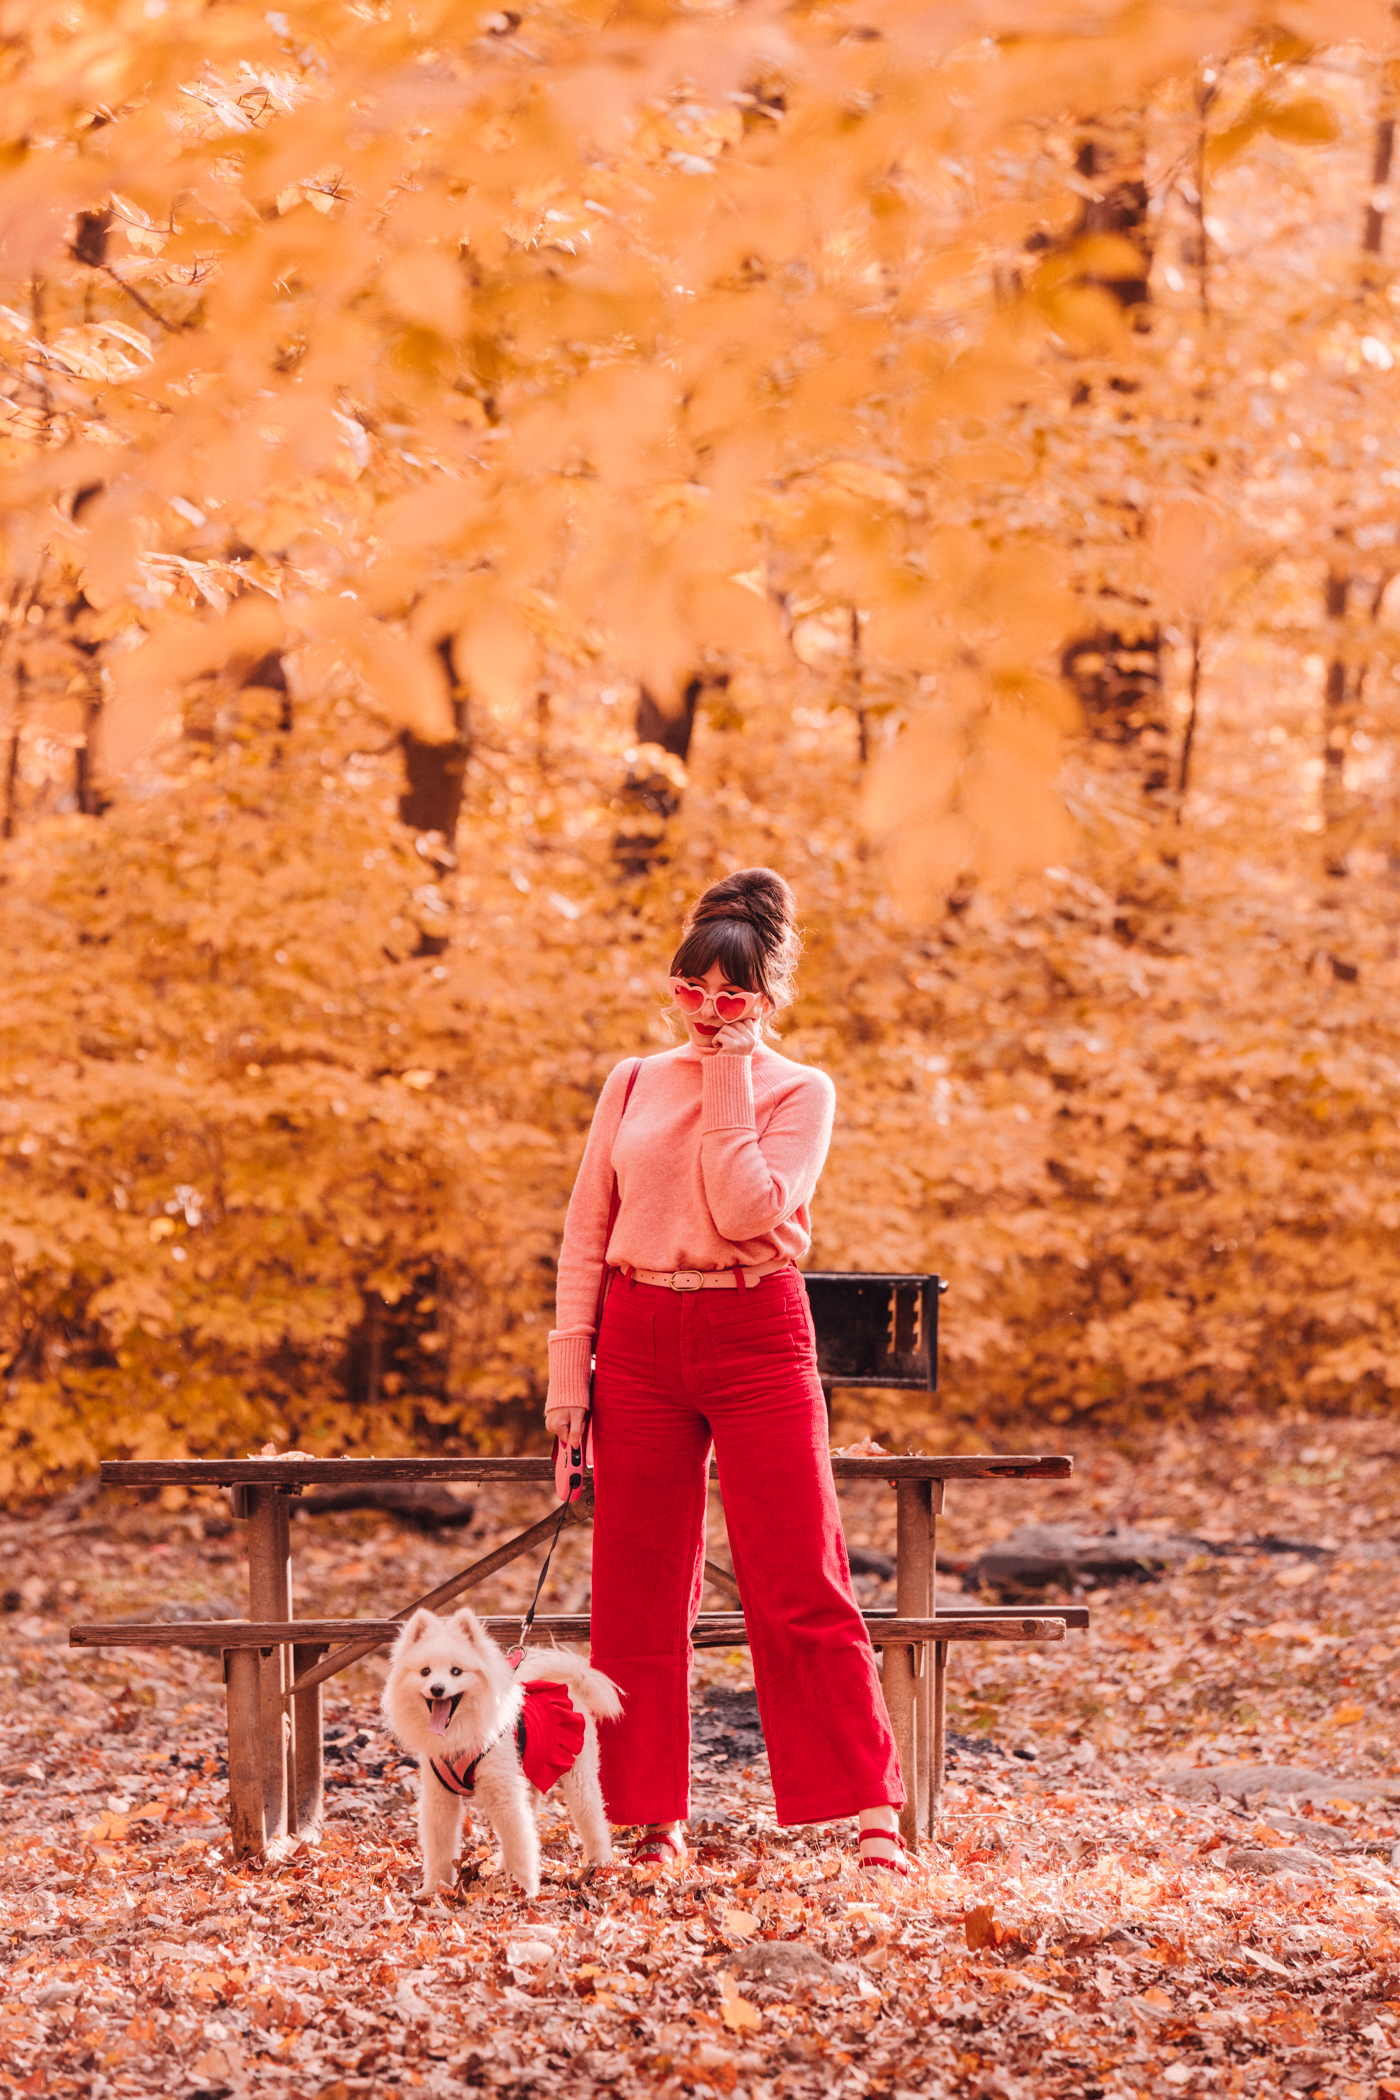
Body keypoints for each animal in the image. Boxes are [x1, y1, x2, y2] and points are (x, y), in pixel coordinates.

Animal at [384, 1604, 625, 1906]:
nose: (437, 1688)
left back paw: (600, 1867)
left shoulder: (503, 1794)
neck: (459, 1735)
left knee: (593, 1821)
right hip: (530, 1778)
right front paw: (433, 1889)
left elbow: (517, 1840)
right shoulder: (440, 1798)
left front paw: (525, 1890)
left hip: (579, 1779)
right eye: (425, 1671)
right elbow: (440, 1848)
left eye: (456, 1671)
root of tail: (571, 1685)